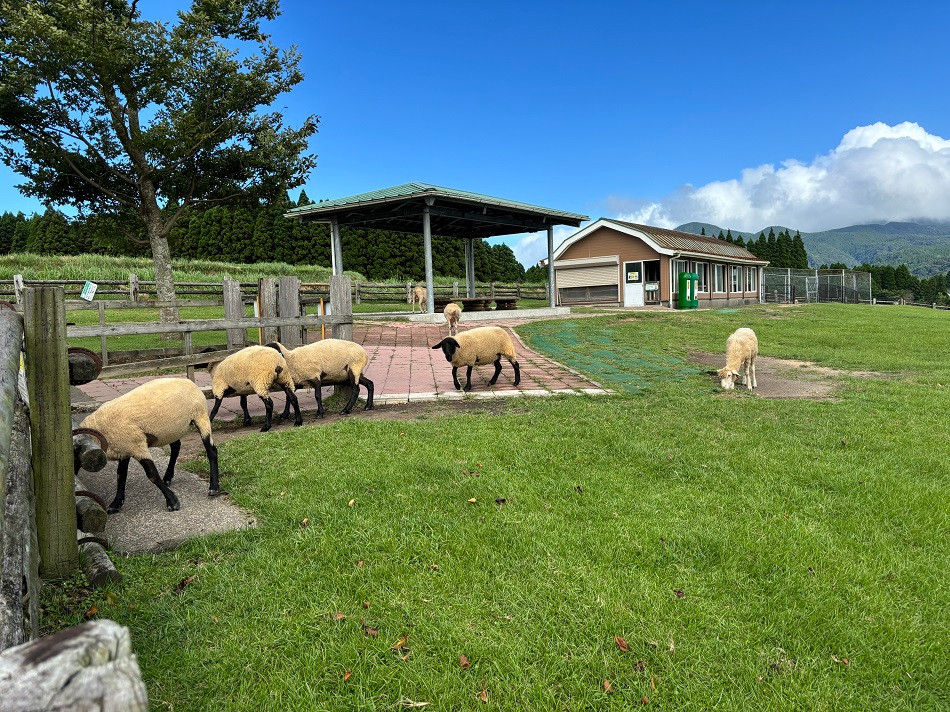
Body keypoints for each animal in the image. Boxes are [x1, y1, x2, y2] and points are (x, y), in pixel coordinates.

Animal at [78, 378, 221, 512]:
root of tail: (187, 380)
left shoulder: (136, 445)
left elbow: (152, 474)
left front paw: (172, 501)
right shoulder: (124, 448)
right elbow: (120, 475)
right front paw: (116, 503)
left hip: (200, 415)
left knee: (211, 450)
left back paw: (213, 488)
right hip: (171, 430)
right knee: (176, 447)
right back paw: (168, 477)